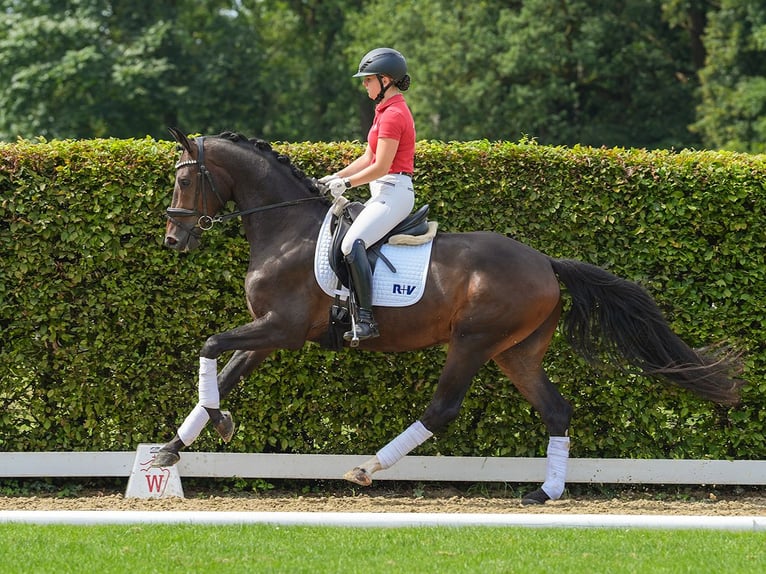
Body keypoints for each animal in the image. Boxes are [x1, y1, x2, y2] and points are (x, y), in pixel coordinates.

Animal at [154, 128, 744, 506]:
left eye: (184, 180)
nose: (174, 240)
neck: (285, 231)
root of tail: (546, 262)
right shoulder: (271, 334)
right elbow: (228, 372)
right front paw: (171, 449)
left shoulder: (282, 328)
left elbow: (210, 345)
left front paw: (210, 426)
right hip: (515, 352)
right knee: (556, 410)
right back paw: (545, 491)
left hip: (473, 341)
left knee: (442, 409)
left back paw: (367, 469)